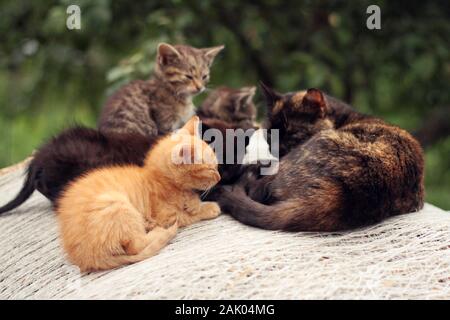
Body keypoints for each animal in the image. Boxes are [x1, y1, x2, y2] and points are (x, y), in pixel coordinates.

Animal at [57, 116, 222, 272]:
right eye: (211, 169)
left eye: (217, 166)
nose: (219, 177)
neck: (160, 179)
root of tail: (87, 257)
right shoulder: (167, 216)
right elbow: (189, 215)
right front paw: (209, 207)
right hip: (117, 205)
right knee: (134, 246)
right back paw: (156, 231)